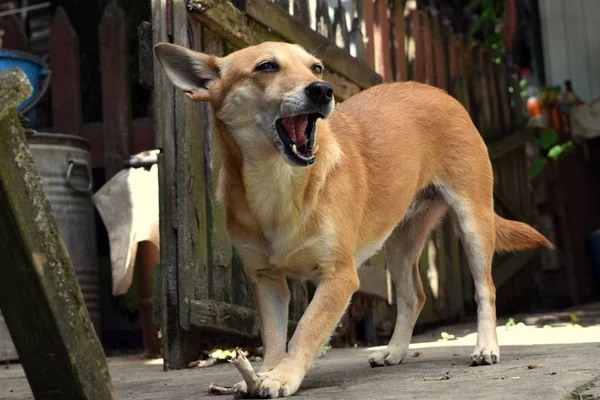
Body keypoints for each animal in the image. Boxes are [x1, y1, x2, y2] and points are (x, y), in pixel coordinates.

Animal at [155, 39, 552, 396]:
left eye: (316, 68)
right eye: (266, 66)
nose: (322, 90)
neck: (278, 183)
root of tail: (434, 90)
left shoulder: (339, 277)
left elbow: (307, 328)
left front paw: (283, 376)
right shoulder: (266, 280)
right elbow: (274, 335)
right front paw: (265, 371)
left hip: (473, 221)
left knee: (485, 289)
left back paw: (485, 348)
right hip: (399, 241)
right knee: (414, 295)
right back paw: (394, 352)